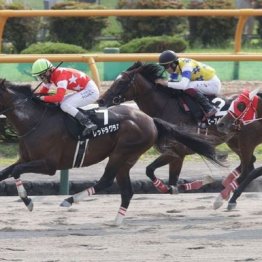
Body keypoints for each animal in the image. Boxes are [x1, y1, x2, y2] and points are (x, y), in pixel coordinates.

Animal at [0, 79, 220, 224]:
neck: (35, 121)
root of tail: (150, 120)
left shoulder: (49, 165)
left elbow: (16, 172)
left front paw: (28, 201)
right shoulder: (25, 158)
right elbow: (7, 172)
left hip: (121, 153)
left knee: (106, 181)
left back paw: (70, 200)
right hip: (126, 159)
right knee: (127, 191)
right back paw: (116, 221)